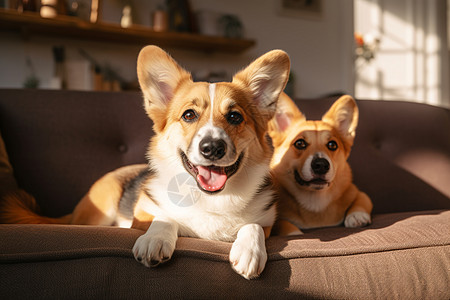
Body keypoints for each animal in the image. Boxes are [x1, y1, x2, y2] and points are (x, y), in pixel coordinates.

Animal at [0, 46, 292, 278]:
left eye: (234, 117)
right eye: (189, 115)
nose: (212, 148)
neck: (210, 198)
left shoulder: (267, 223)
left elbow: (252, 225)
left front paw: (249, 251)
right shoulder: (141, 216)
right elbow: (164, 218)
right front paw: (155, 240)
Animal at [268, 93, 370, 234]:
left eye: (332, 145)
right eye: (299, 143)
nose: (321, 165)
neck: (315, 200)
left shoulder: (359, 193)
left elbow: (361, 201)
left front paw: (357, 216)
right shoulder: (276, 219)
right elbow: (283, 223)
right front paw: (295, 233)